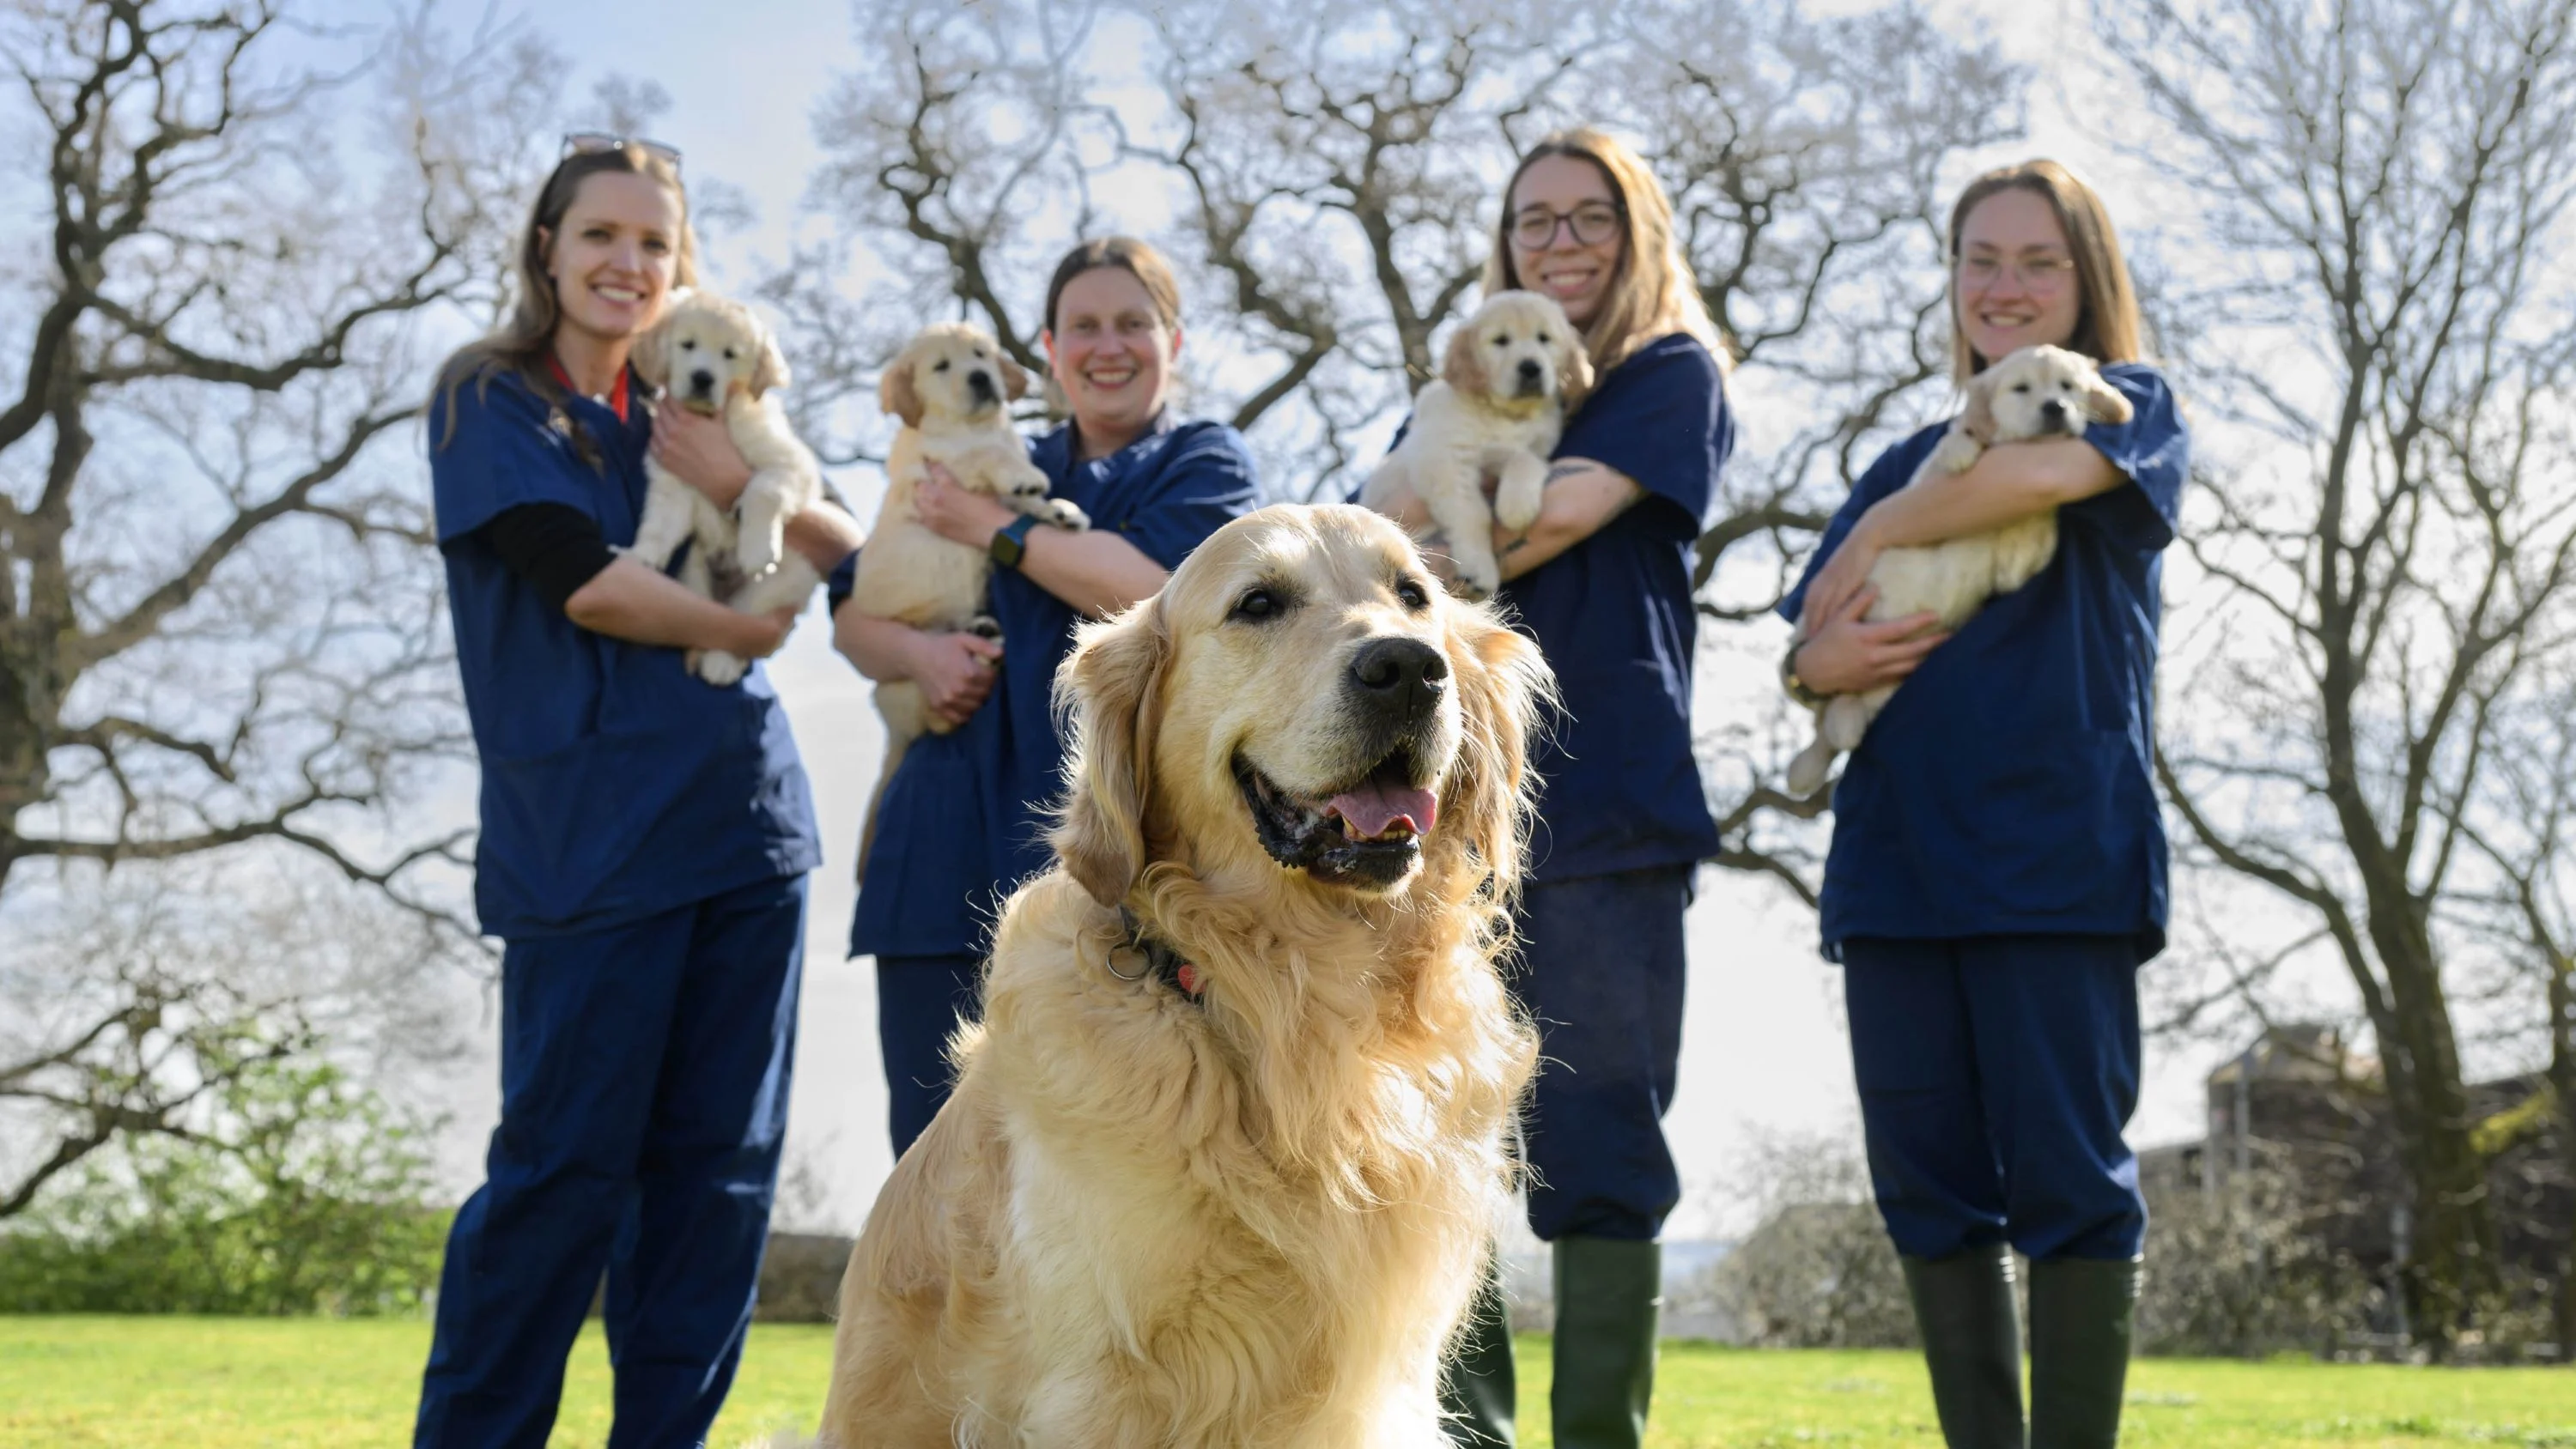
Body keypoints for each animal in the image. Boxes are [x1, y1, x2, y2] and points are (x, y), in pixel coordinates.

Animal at [626, 292, 819, 689]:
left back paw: (720, 662)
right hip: (692, 575)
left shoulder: (790, 464)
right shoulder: (672, 483)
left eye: (730, 354)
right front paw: (640, 556)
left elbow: (763, 490)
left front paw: (757, 549)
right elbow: (658, 527)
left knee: (741, 622)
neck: (714, 417)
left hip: (779, 584)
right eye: (687, 345)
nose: (703, 378)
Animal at [850, 324, 1082, 875]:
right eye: (941, 367)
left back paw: (983, 629)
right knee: (937, 718)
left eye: (980, 355)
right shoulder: (936, 468)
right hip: (910, 683)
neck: (976, 426)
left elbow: (1021, 504)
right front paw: (1023, 476)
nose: (979, 378)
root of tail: (894, 731)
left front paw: (1059, 510)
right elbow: (983, 458)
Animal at [1370, 292, 1587, 597]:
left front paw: (1516, 506)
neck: (1506, 414)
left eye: (1544, 338)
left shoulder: (1531, 448)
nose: (1531, 368)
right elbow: (1474, 512)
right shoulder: (1444, 458)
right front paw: (1478, 568)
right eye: (1501, 340)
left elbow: (1525, 459)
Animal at [1793, 339, 2133, 792]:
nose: (2056, 407)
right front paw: (1961, 447)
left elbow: (2038, 520)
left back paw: (1844, 725)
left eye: (2068, 386)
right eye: (2021, 389)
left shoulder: (2016, 565)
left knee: (1834, 723)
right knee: (1825, 716)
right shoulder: (1921, 494)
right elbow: (1947, 450)